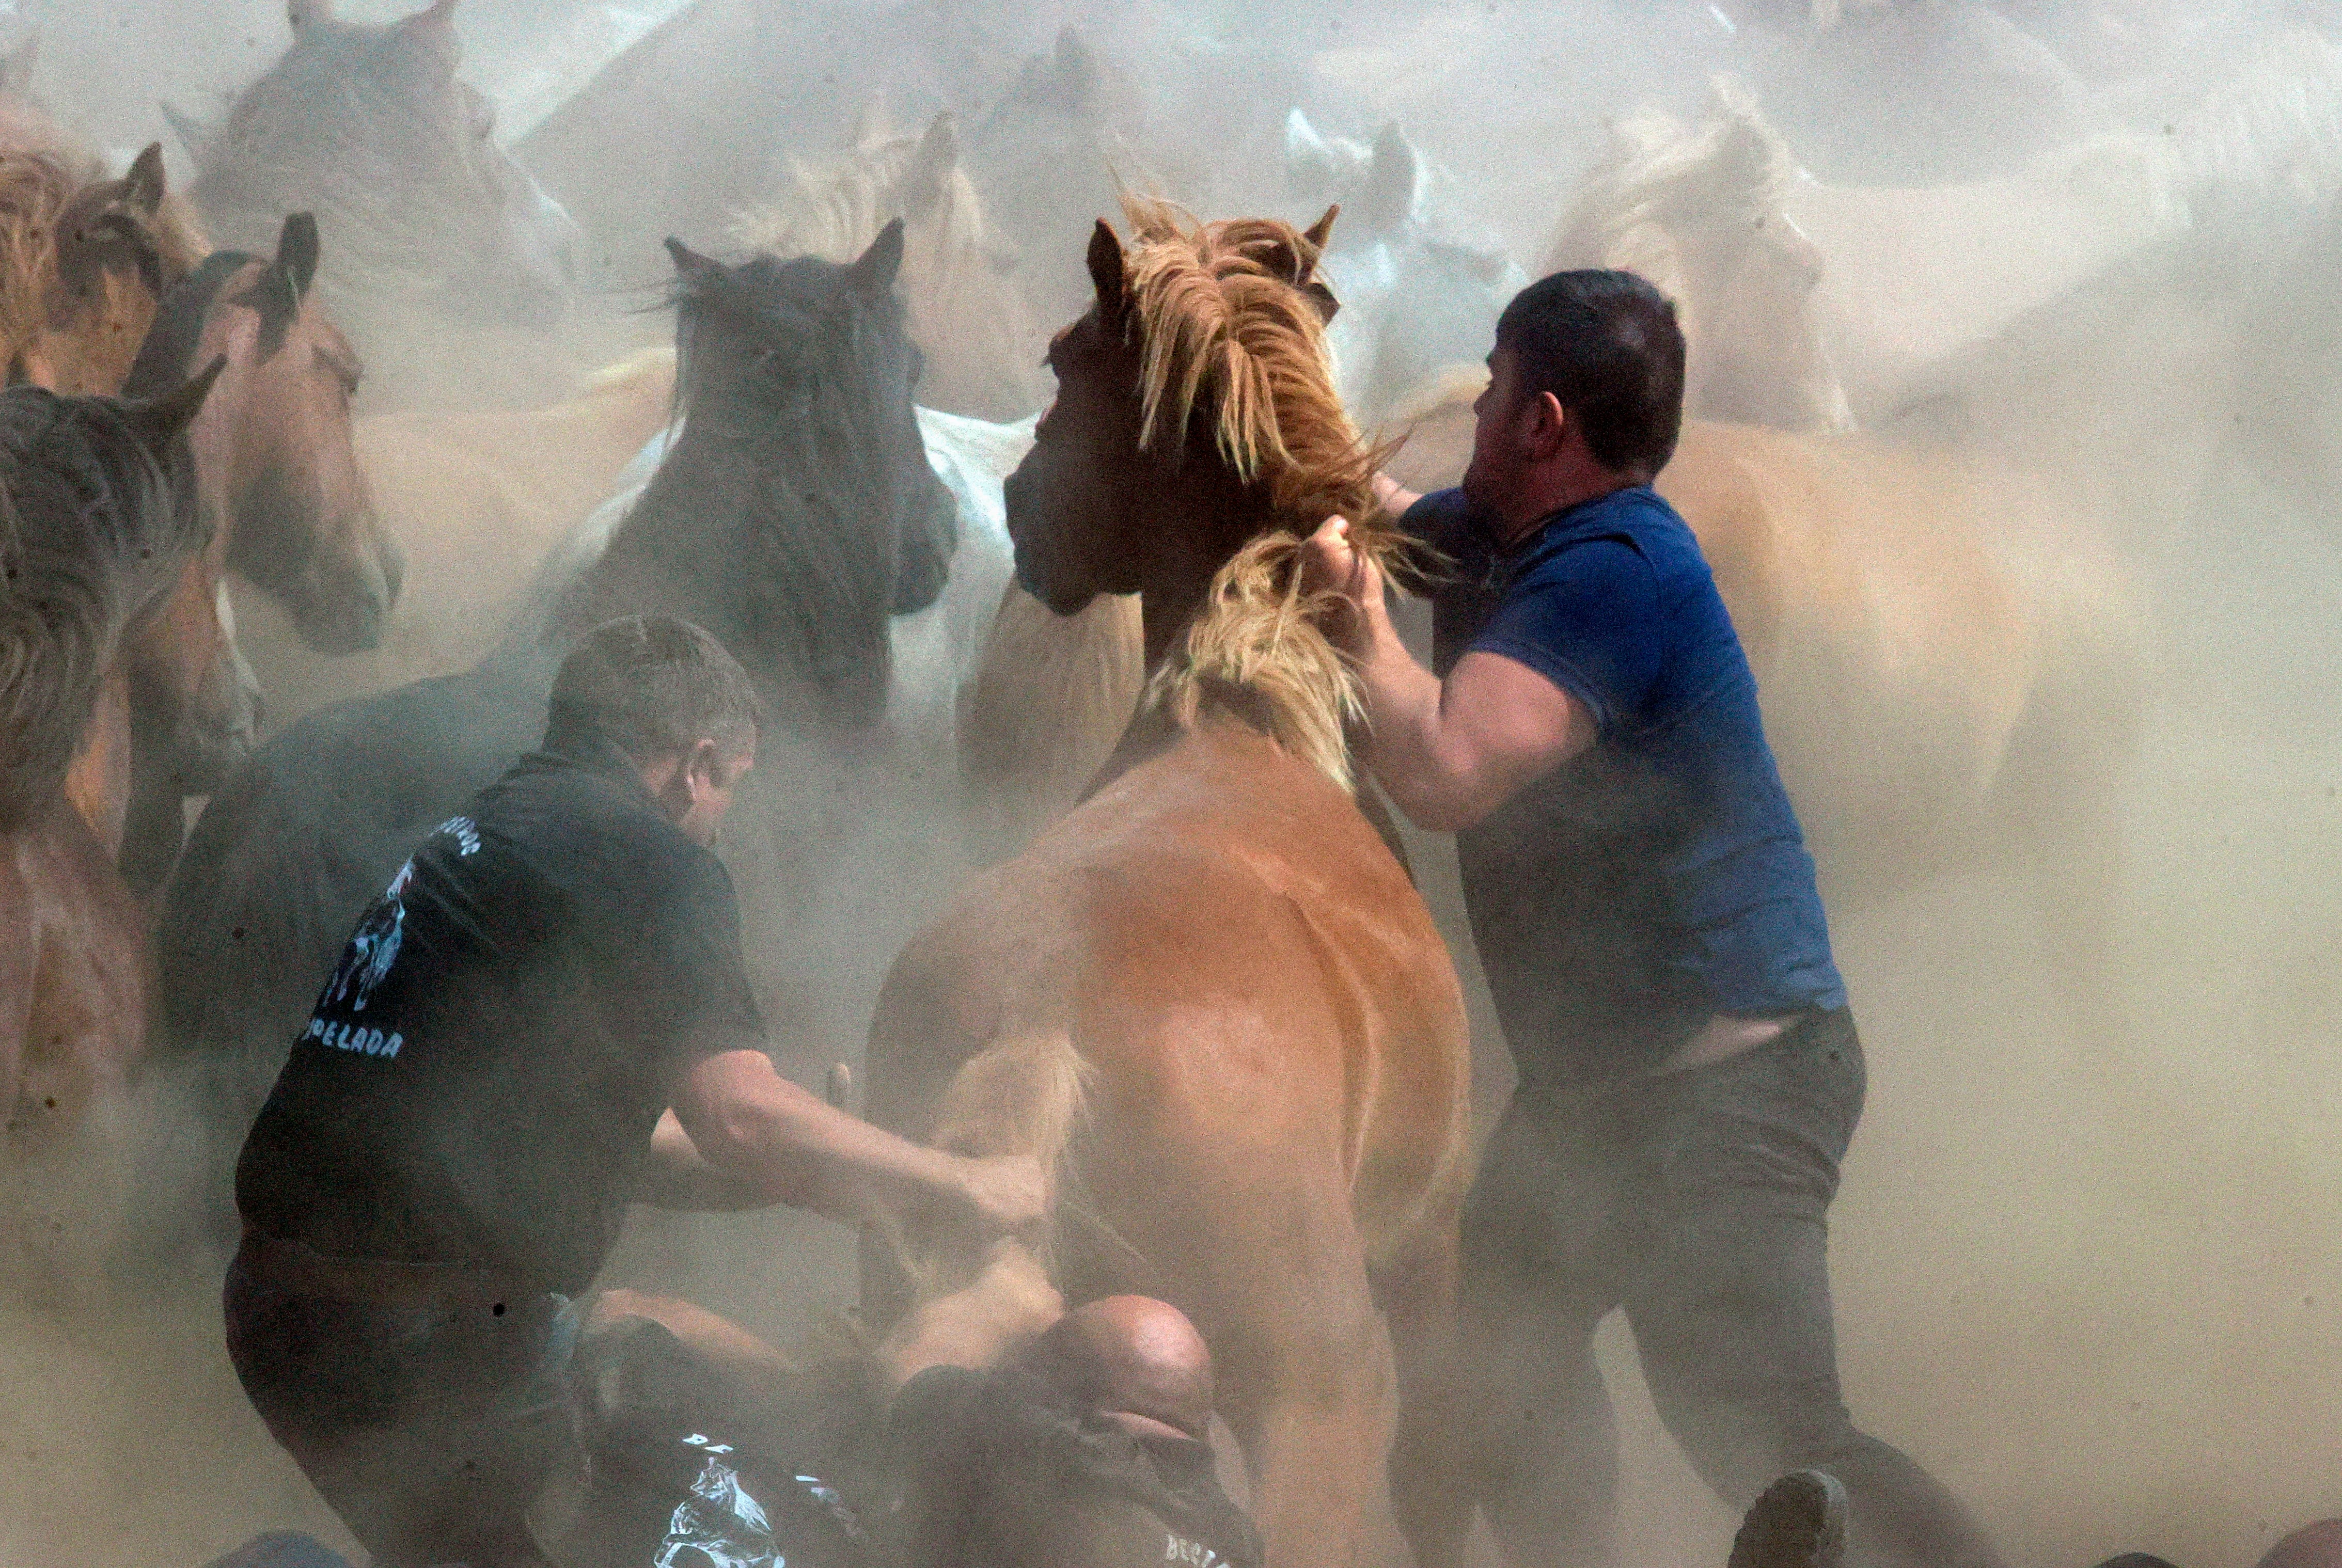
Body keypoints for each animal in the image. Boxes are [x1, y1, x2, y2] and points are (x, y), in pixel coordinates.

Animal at [871, 196, 1470, 1568]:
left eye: (1059, 360)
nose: (1018, 503)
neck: (1246, 717)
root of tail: (1043, 1020)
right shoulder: (1423, 1260)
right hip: (1317, 1393)